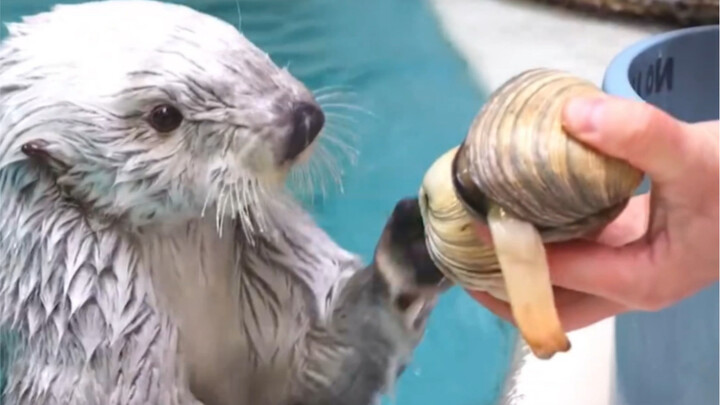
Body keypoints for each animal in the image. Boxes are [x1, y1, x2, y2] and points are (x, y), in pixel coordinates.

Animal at [0, 1, 449, 405]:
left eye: (243, 45)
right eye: (164, 115)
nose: (304, 120)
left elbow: (318, 368)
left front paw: (409, 249)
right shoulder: (95, 312)